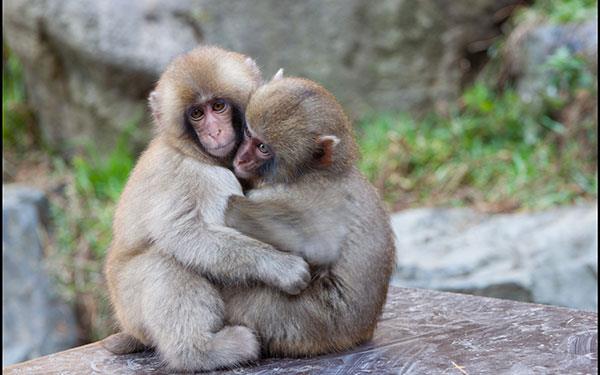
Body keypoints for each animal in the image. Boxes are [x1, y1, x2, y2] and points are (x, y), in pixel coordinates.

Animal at [101, 45, 312, 372]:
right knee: (164, 263)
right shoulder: (197, 175)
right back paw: (201, 353)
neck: (195, 153)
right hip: (130, 303)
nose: (213, 132)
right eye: (197, 114)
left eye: (218, 106)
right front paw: (280, 266)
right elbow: (186, 233)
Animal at [223, 74, 396, 358]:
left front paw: (232, 207)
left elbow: (318, 247)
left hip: (307, 323)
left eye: (262, 147)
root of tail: (361, 334)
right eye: (248, 134)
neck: (310, 172)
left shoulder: (304, 196)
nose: (242, 158)